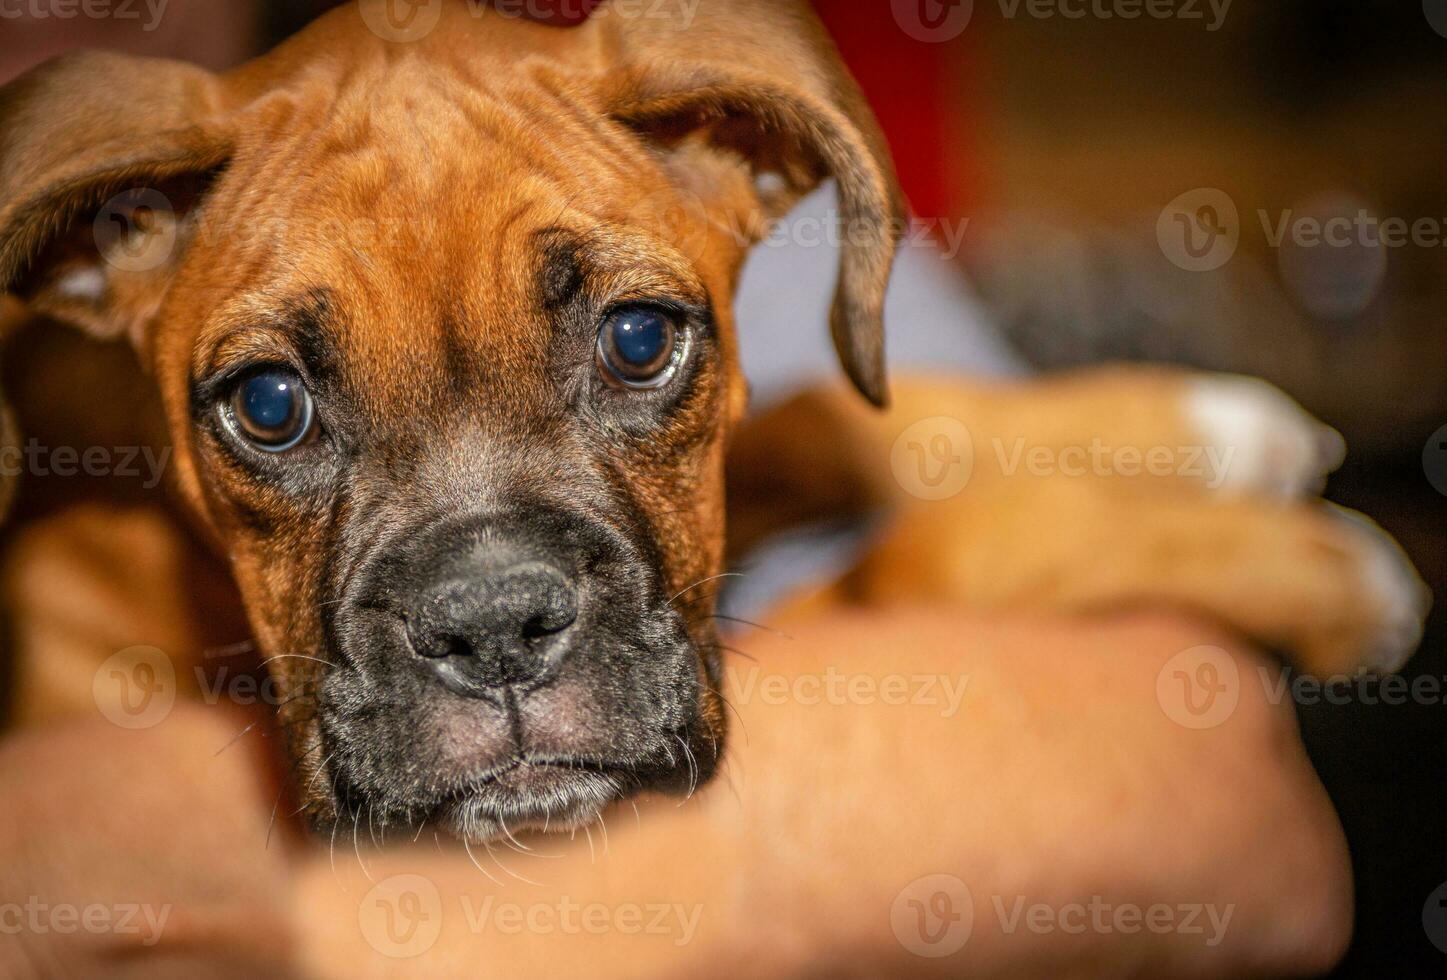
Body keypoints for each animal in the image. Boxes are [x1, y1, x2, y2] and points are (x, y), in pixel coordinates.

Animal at [0, 0, 1429, 839]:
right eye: (269, 406)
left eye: (639, 341)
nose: (491, 625)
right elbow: (928, 550)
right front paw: (1313, 569)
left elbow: (833, 414)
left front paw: (1179, 422)